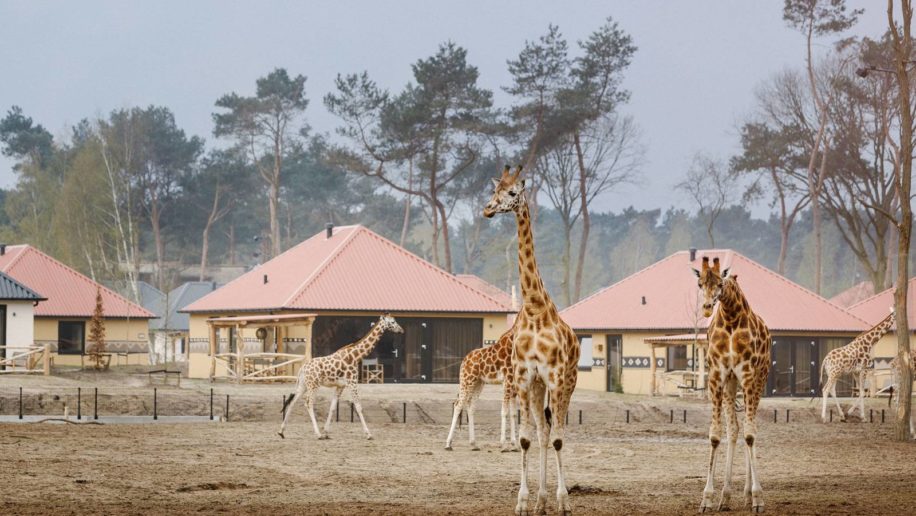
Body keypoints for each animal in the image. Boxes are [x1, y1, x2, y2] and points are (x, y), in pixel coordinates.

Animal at [484, 166, 576, 516]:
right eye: (495, 190)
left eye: (513, 193)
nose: (487, 209)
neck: (535, 307)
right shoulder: (525, 377)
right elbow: (525, 438)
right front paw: (523, 502)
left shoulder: (557, 377)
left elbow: (560, 438)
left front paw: (564, 502)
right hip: (538, 389)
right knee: (543, 431)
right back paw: (540, 500)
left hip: (567, 383)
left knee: (557, 432)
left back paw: (553, 498)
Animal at [696, 258, 772, 512]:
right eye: (700, 283)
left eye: (720, 283)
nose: (707, 307)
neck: (730, 318)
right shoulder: (717, 376)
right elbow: (716, 435)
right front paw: (707, 498)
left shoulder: (747, 375)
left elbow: (750, 435)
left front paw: (758, 498)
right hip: (731, 385)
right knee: (734, 429)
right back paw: (726, 496)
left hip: (759, 380)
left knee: (752, 428)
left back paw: (748, 495)